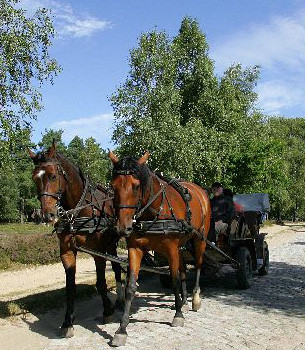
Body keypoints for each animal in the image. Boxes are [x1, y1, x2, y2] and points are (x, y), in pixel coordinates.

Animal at [28, 142, 123, 336]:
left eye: (53, 176)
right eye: (35, 179)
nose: (48, 215)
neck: (78, 212)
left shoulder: (98, 252)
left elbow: (100, 283)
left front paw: (107, 311)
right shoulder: (67, 251)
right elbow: (70, 288)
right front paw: (67, 322)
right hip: (111, 245)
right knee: (117, 267)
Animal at [108, 152, 210, 346]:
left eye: (136, 186)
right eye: (113, 186)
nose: (122, 228)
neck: (153, 212)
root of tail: (199, 190)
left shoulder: (171, 248)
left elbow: (174, 279)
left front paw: (178, 315)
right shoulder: (135, 248)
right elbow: (130, 287)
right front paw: (122, 329)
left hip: (200, 238)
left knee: (199, 265)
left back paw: (194, 298)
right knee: (183, 269)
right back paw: (184, 301)